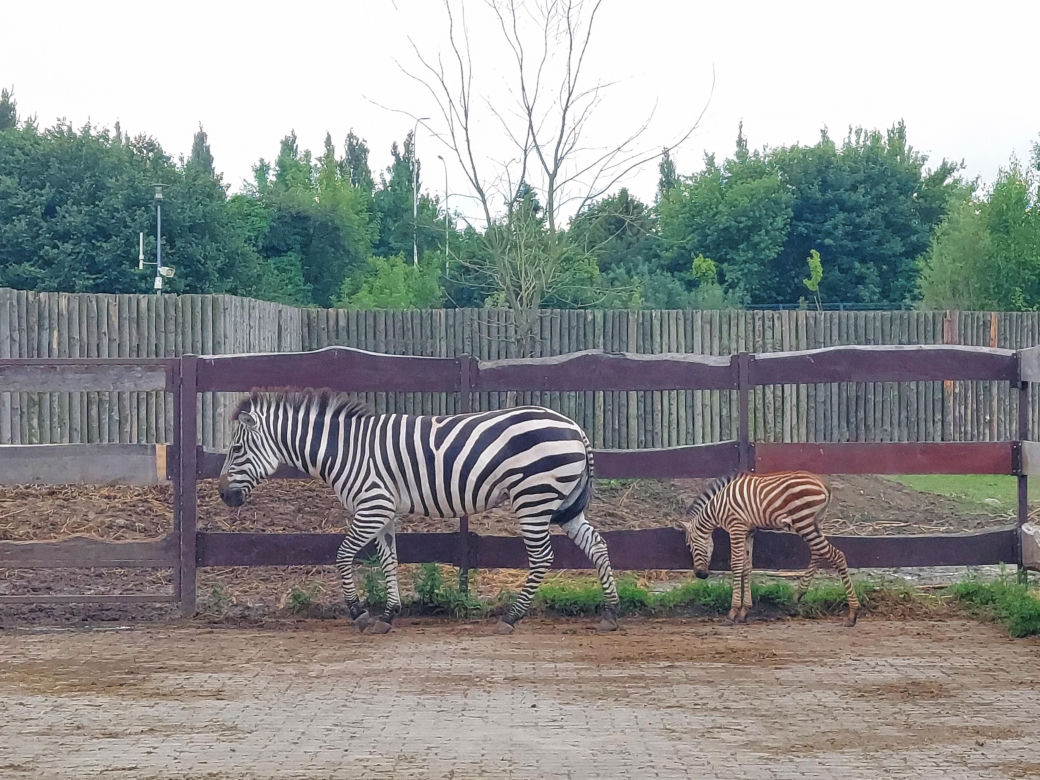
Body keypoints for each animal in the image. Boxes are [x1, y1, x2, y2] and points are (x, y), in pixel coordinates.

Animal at [218, 389, 620, 634]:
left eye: (236, 449)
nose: (223, 496)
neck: (344, 450)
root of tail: (575, 426)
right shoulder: (384, 512)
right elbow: (389, 561)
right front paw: (388, 614)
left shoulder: (372, 505)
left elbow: (343, 556)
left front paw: (359, 613)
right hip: (562, 504)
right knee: (597, 546)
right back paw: (611, 613)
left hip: (533, 497)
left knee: (542, 558)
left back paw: (511, 617)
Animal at [680, 470, 859, 627]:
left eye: (689, 545)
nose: (700, 575)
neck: (717, 506)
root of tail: (824, 485)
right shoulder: (749, 531)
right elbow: (747, 566)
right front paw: (744, 611)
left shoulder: (736, 527)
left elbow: (736, 565)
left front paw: (732, 612)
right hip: (816, 522)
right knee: (818, 553)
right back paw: (798, 594)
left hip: (803, 521)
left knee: (837, 555)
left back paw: (852, 614)